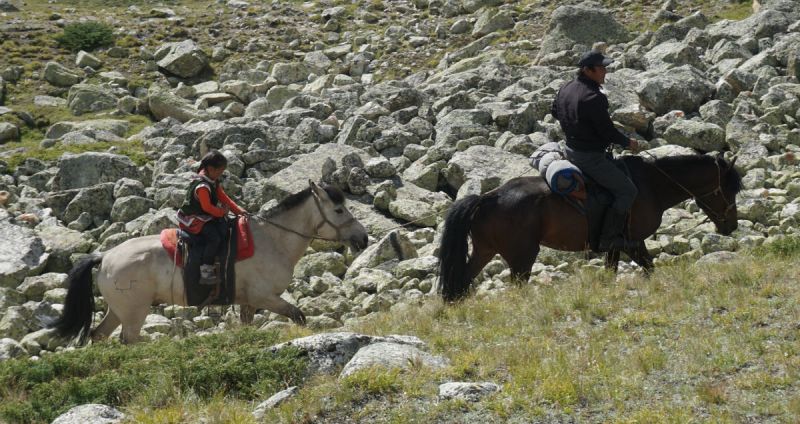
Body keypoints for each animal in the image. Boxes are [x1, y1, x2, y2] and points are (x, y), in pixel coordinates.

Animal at [53, 181, 368, 344]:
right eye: (339, 210)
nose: (362, 238)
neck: (273, 240)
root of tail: (104, 257)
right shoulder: (265, 297)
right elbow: (298, 315)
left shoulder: (249, 302)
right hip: (134, 313)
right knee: (127, 339)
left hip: (119, 311)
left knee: (98, 335)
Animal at [438, 154, 744, 300]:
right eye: (729, 189)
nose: (731, 226)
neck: (651, 187)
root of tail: (488, 198)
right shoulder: (633, 241)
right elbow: (648, 268)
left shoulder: (618, 245)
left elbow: (615, 272)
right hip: (522, 257)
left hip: (485, 251)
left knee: (460, 282)